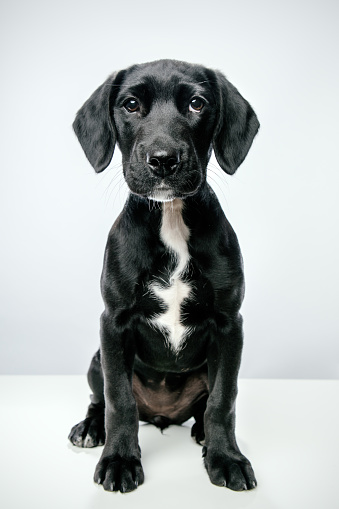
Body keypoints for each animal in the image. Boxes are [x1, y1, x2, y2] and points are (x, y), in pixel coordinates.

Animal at [69, 59, 260, 492]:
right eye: (131, 104)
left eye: (196, 103)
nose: (163, 159)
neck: (171, 217)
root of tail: (161, 414)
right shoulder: (114, 322)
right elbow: (119, 401)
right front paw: (119, 460)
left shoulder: (230, 325)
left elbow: (223, 400)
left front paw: (226, 458)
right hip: (96, 359)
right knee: (100, 399)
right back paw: (90, 428)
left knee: (207, 405)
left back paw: (203, 433)